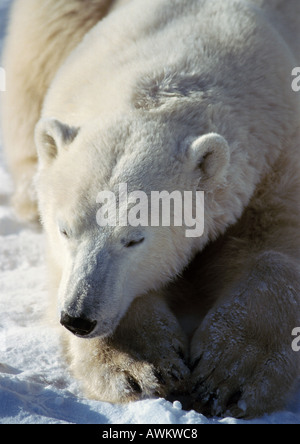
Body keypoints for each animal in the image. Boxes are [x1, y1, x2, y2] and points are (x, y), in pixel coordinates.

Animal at [2, 0, 300, 418]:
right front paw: (140, 366)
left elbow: (275, 251)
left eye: (134, 239)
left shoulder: (279, 160)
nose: (78, 318)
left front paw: (228, 376)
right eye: (65, 229)